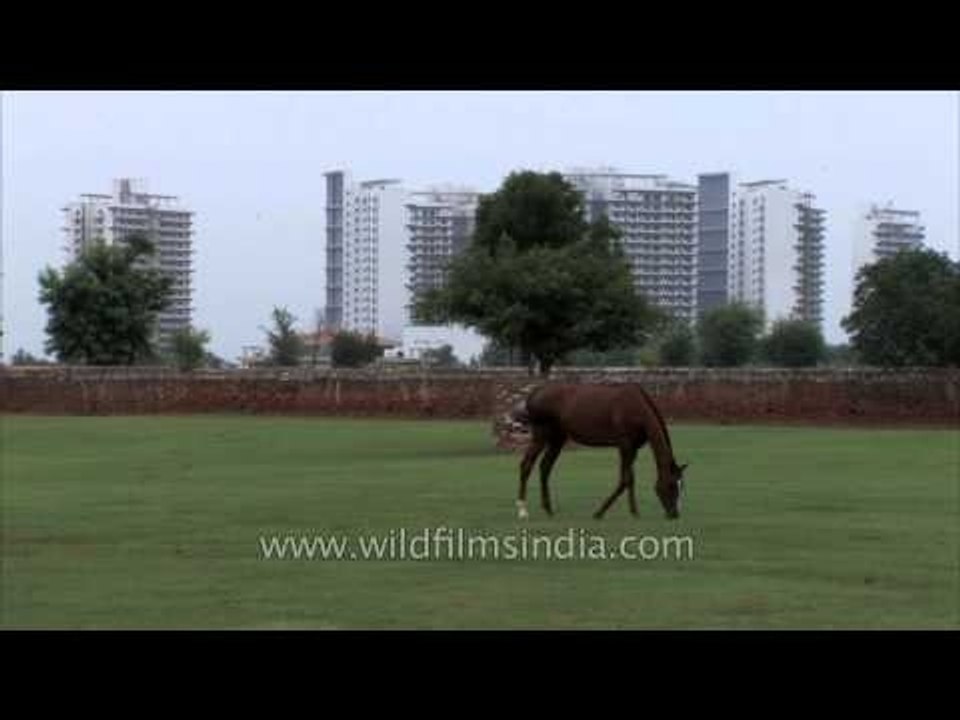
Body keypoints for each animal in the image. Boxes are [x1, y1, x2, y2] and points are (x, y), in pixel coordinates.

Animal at [510, 383, 688, 520]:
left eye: (682, 485)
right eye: (672, 485)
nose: (675, 514)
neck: (636, 407)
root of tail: (535, 393)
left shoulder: (633, 449)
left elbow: (629, 479)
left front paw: (631, 511)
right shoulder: (625, 446)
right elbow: (625, 480)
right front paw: (602, 512)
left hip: (557, 439)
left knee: (545, 467)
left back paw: (548, 509)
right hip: (541, 435)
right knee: (526, 465)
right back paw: (522, 510)